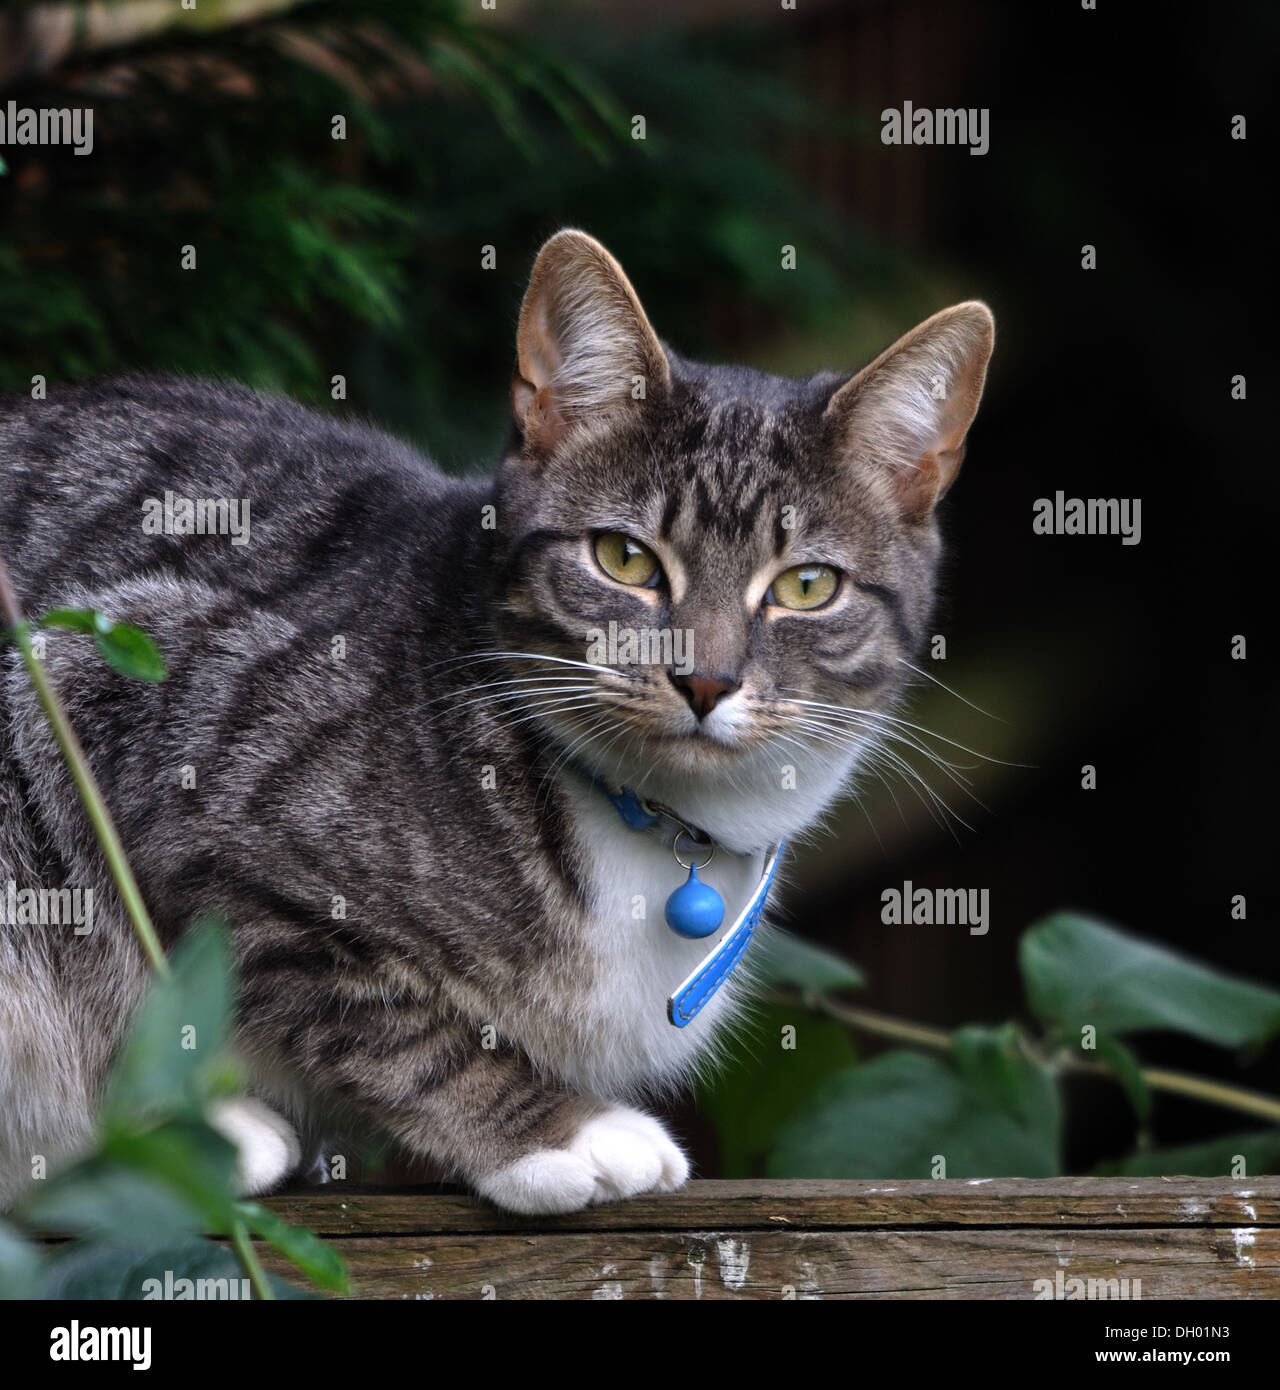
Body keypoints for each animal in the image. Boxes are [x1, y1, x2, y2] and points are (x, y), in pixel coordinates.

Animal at [0, 227, 995, 1206]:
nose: (705, 680)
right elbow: (377, 1019)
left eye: (807, 586)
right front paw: (557, 1132)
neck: (652, 826)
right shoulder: (153, 714)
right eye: (624, 559)